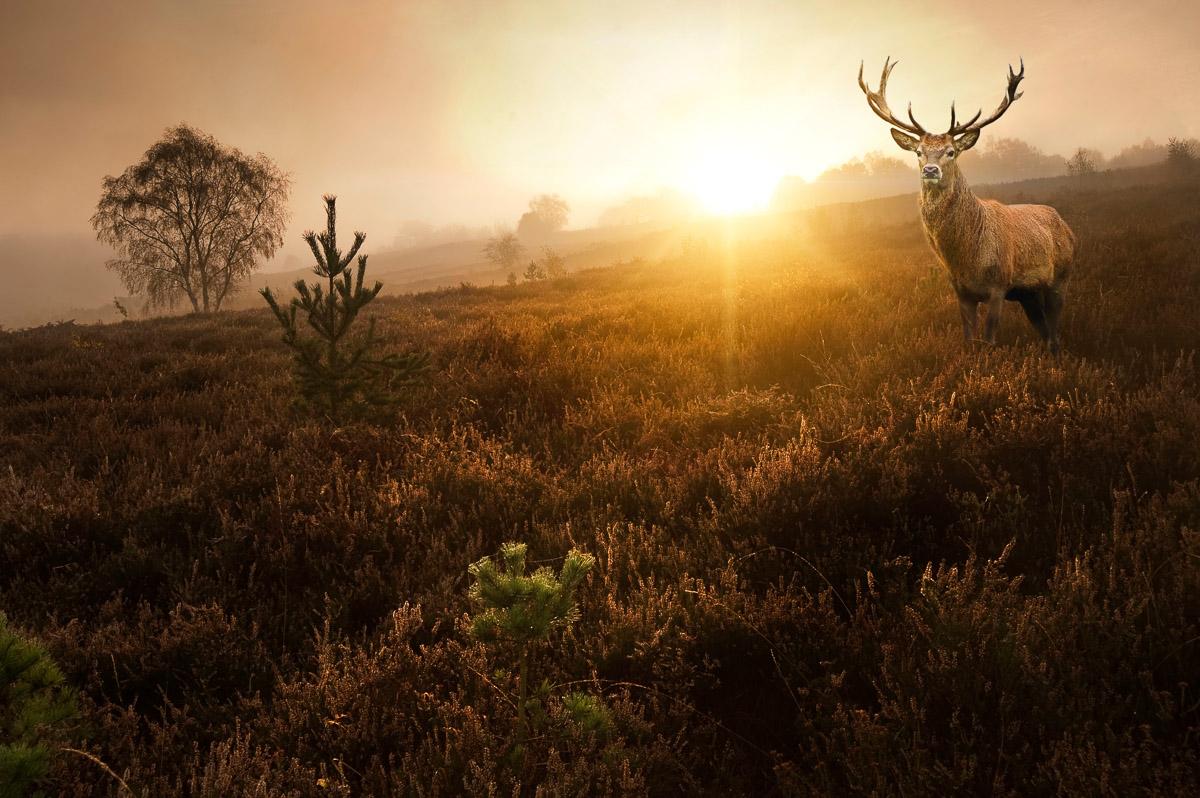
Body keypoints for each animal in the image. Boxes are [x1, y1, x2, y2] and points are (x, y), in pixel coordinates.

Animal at [858, 58, 1076, 355]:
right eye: (918, 152)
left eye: (951, 151)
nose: (930, 170)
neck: (966, 258)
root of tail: (1067, 227)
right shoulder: (961, 291)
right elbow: (969, 340)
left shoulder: (998, 285)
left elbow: (989, 339)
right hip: (1028, 293)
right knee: (1044, 331)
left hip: (1061, 276)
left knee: (1055, 332)